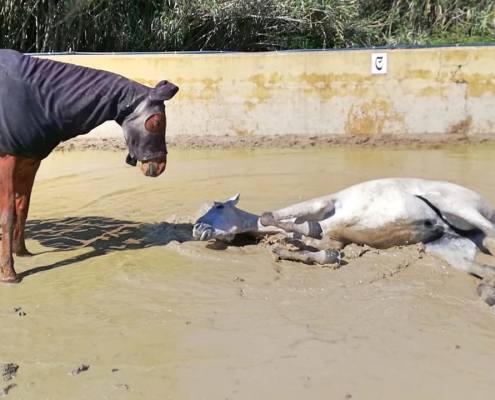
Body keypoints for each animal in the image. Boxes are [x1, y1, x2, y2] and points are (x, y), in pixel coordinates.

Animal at [0, 49, 180, 282]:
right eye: (158, 122)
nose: (160, 167)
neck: (36, 98)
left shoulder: (29, 164)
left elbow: (22, 209)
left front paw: (21, 252)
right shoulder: (7, 164)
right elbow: (8, 215)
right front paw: (9, 274)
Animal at [194, 178, 495, 306]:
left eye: (220, 205)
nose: (197, 228)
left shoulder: (323, 204)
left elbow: (273, 217)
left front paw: (310, 228)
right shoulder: (334, 241)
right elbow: (313, 251)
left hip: (456, 205)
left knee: (491, 235)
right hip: (448, 247)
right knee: (483, 267)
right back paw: (487, 291)